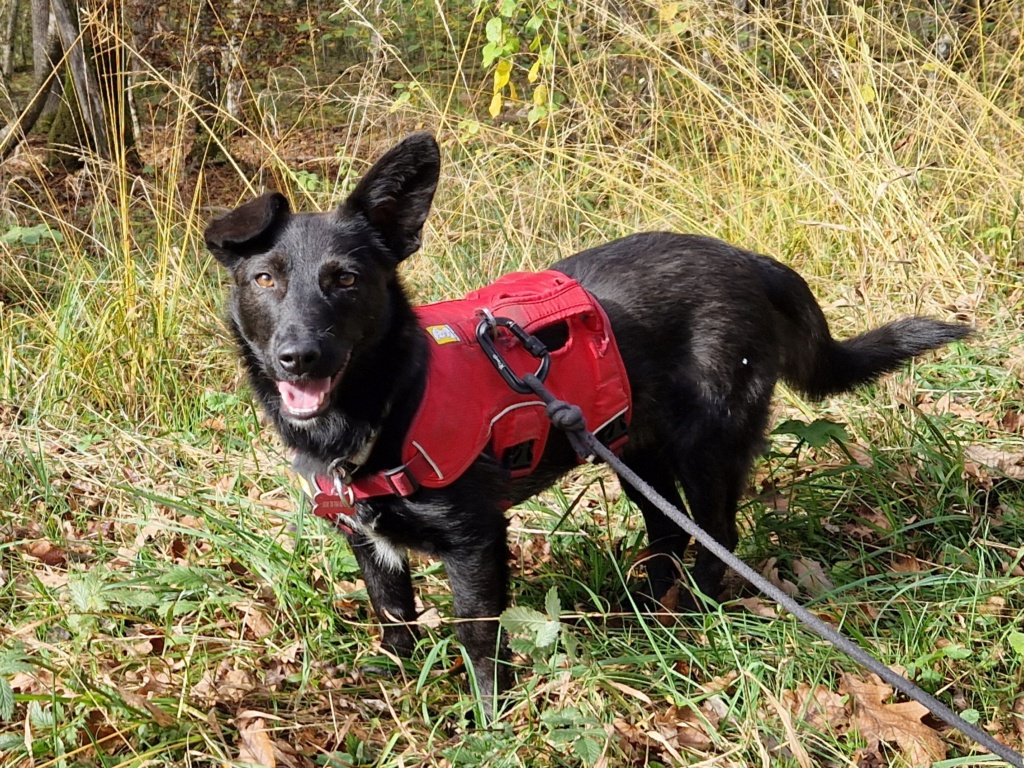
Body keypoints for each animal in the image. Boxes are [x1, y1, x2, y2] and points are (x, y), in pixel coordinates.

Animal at [203, 131, 970, 708]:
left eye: (346, 280)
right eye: (264, 279)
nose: (298, 357)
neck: (387, 402)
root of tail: (751, 260)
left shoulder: (475, 542)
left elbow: (479, 637)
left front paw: (489, 720)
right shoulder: (369, 543)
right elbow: (394, 620)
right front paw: (399, 693)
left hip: (706, 446)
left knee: (716, 536)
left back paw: (692, 622)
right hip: (631, 450)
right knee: (667, 532)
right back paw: (645, 618)